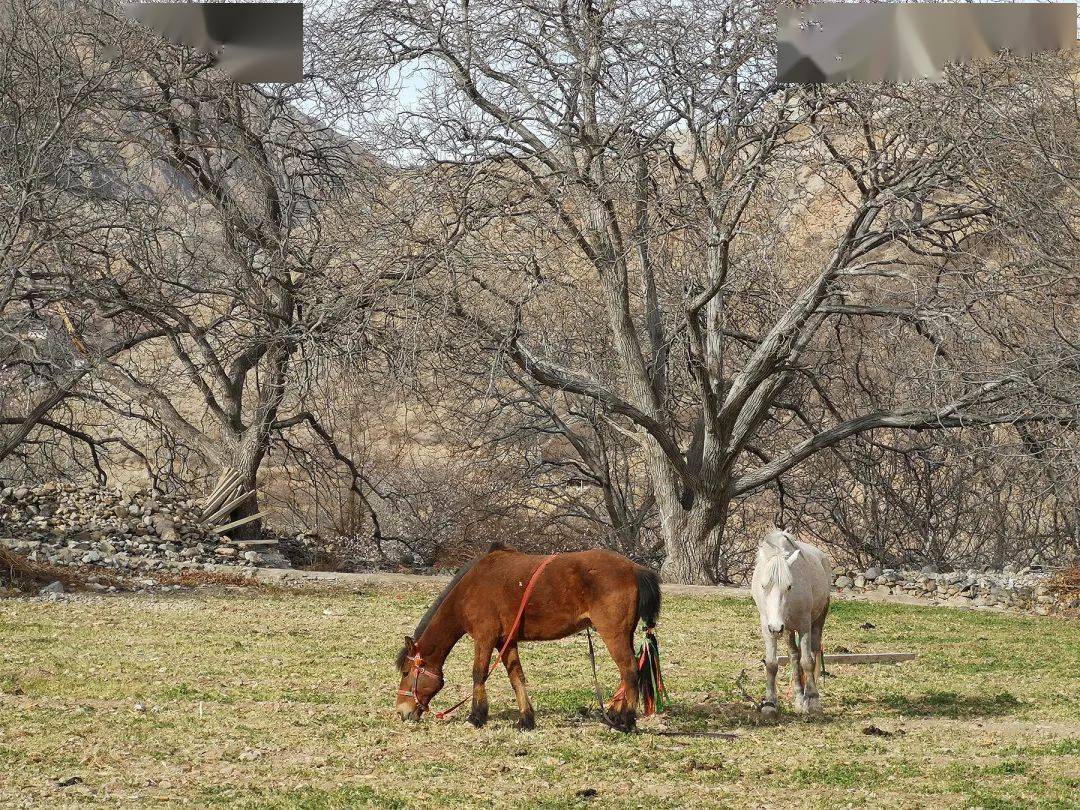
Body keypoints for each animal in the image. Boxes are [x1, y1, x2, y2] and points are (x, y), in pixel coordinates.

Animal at [395, 546, 656, 730]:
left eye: (407, 672)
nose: (401, 712)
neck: (471, 587)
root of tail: (633, 568)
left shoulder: (485, 637)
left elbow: (479, 673)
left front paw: (476, 716)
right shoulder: (506, 641)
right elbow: (516, 677)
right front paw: (525, 719)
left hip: (614, 634)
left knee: (629, 670)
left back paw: (627, 721)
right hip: (624, 635)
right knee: (628, 672)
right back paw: (616, 714)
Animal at [756, 533, 829, 717]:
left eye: (789, 586)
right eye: (763, 585)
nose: (776, 627)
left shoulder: (804, 625)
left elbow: (807, 662)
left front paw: (812, 700)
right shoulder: (767, 626)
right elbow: (772, 664)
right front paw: (770, 703)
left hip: (817, 620)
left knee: (814, 652)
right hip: (788, 630)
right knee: (794, 657)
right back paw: (798, 697)